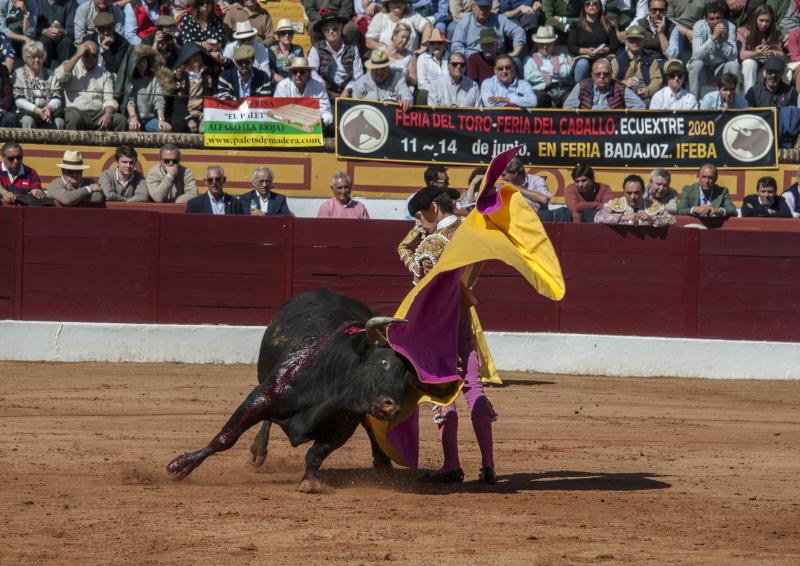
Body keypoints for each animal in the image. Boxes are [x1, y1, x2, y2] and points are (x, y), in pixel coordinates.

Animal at [162, 288, 412, 492]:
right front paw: (181, 466)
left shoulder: (341, 426)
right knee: (265, 422)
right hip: (264, 379)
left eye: (408, 377)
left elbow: (316, 453)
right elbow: (225, 438)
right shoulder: (263, 395)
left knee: (369, 426)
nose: (391, 406)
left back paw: (383, 465)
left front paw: (309, 481)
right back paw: (257, 451)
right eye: (383, 362)